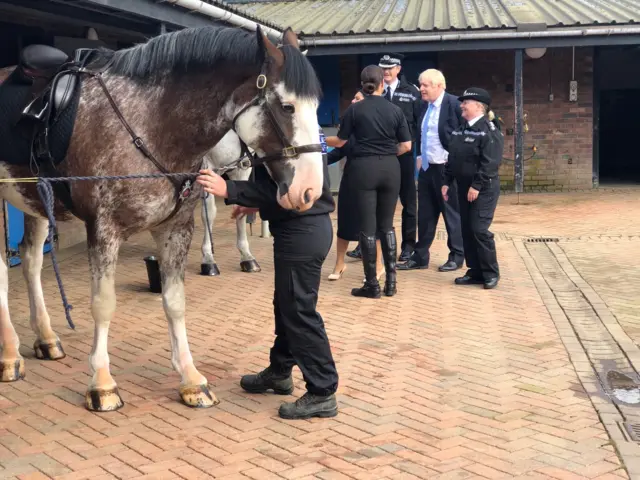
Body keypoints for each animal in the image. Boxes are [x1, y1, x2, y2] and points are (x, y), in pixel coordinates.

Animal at [200, 129, 260, 276]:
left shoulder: (242, 168)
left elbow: (240, 208)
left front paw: (247, 257)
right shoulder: (208, 167)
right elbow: (209, 213)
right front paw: (208, 259)